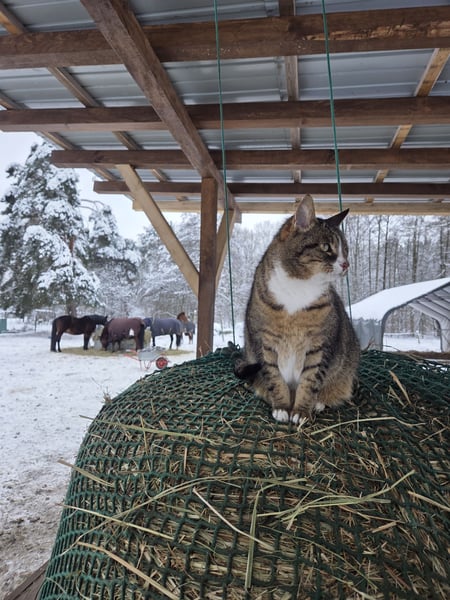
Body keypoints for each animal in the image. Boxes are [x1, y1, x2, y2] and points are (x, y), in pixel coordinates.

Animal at [234, 194, 360, 424]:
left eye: (346, 250)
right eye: (326, 247)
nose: (346, 264)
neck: (299, 286)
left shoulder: (320, 344)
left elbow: (310, 381)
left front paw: (301, 411)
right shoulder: (264, 342)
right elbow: (274, 378)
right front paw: (282, 407)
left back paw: (320, 402)